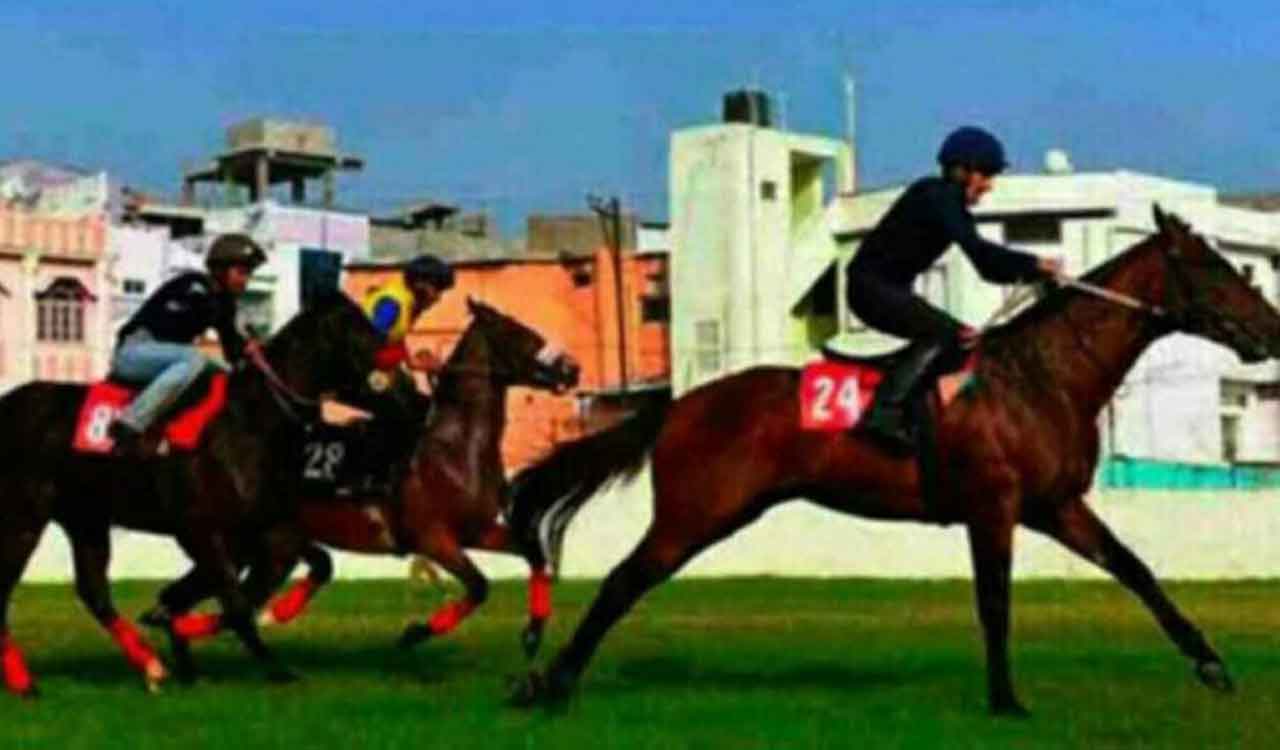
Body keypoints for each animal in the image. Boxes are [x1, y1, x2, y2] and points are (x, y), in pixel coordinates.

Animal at [0, 292, 383, 697]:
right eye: (358, 327)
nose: (393, 366)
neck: (248, 421)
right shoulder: (200, 529)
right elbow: (235, 602)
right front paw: (277, 668)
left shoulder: (261, 525)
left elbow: (316, 564)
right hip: (23, 515)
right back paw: (23, 682)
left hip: (85, 518)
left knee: (94, 591)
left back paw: (152, 667)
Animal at [140, 298, 581, 666]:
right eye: (521, 333)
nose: (571, 368)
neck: (453, 448)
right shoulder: (433, 539)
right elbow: (478, 586)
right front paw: (415, 632)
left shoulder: (479, 530)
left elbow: (534, 555)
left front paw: (533, 633)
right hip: (246, 543)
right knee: (210, 602)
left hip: (259, 545)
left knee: (201, 599)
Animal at [505, 207, 1280, 715]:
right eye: (1215, 267)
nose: (1272, 329)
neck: (1043, 375)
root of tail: (680, 404)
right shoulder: (993, 507)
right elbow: (995, 602)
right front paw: (1005, 699)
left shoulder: (1055, 506)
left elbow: (1134, 568)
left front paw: (1210, 662)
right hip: (698, 512)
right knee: (621, 582)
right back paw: (550, 684)